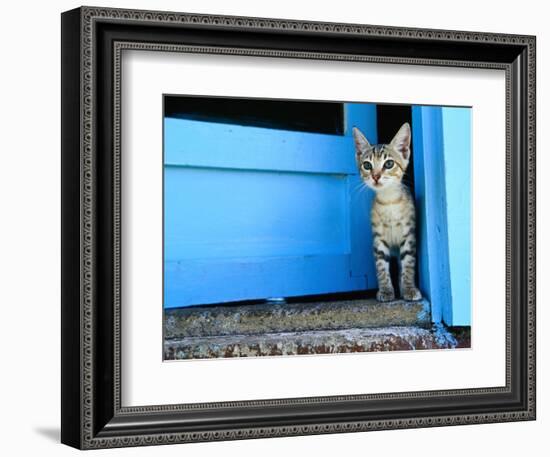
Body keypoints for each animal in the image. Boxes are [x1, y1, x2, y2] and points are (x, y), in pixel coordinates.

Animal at [354, 121, 422, 302]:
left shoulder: (409, 236)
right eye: (367, 165)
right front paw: (385, 290)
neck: (389, 202)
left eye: (389, 164)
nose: (376, 176)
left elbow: (408, 264)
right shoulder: (378, 239)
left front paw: (409, 288)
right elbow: (381, 266)